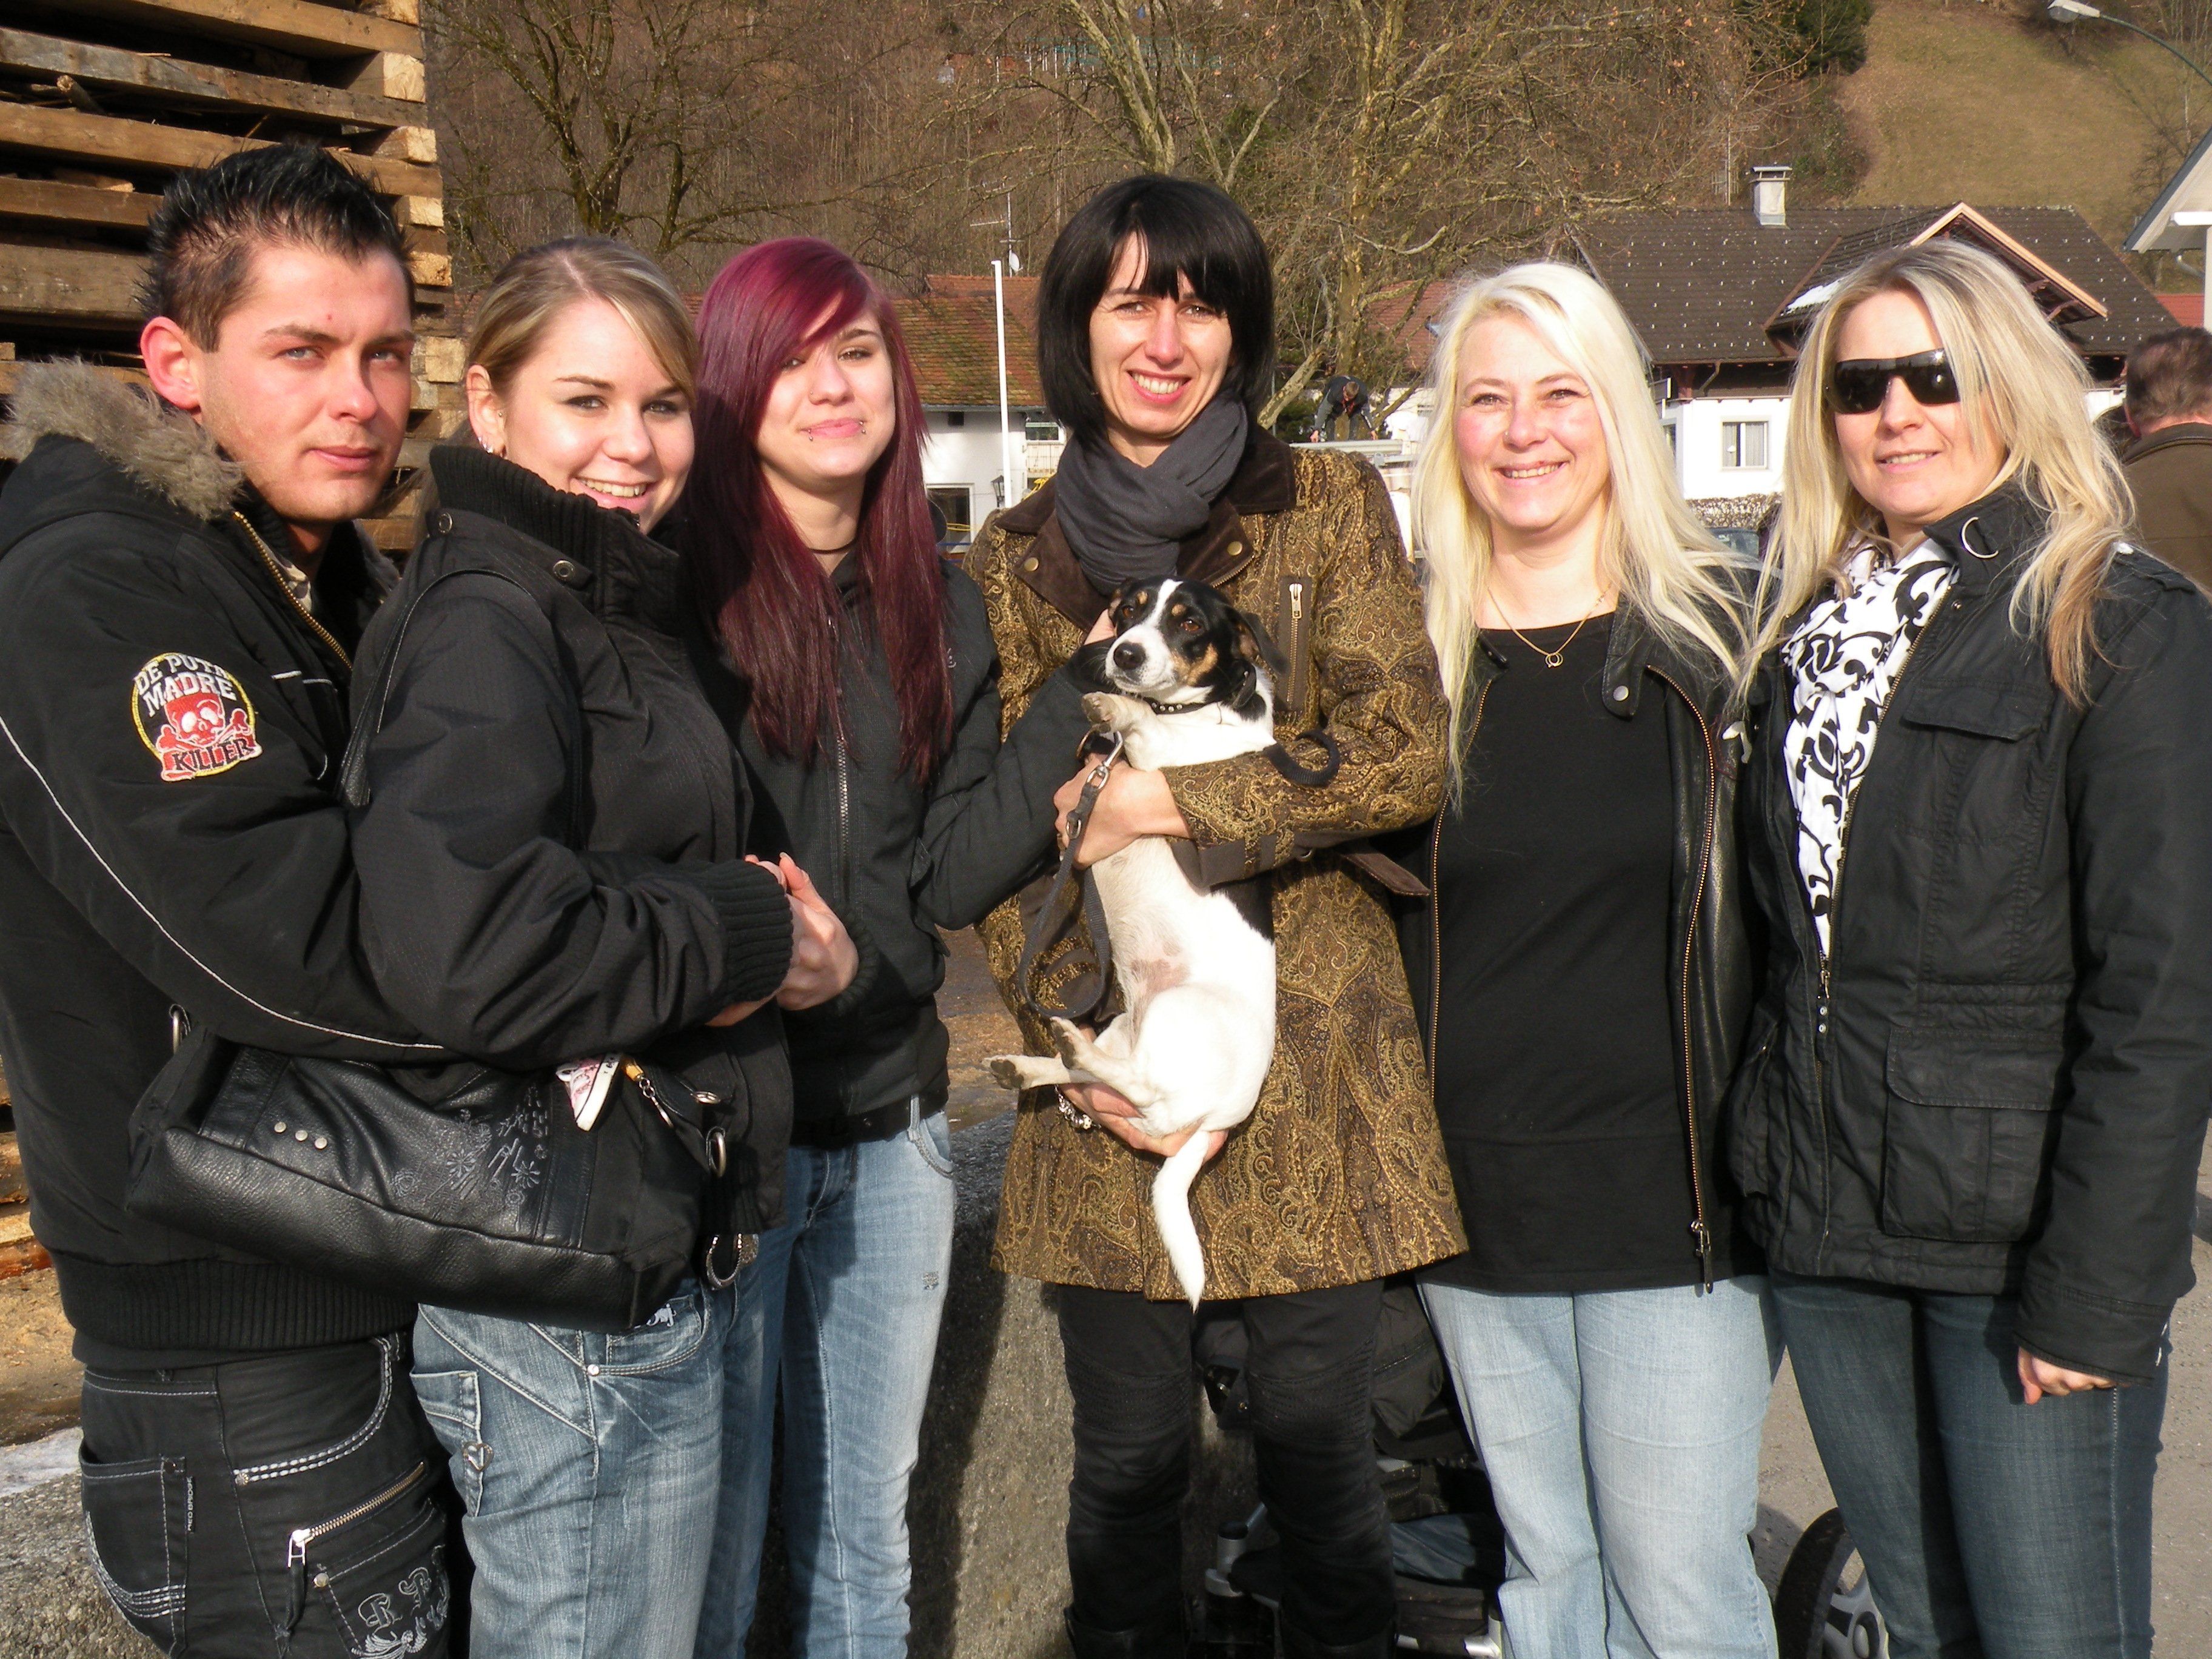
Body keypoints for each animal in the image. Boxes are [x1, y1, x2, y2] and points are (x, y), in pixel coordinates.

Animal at [989, 577, 1280, 1306]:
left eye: (1188, 624)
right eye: (1128, 610)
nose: (1122, 654)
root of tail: (1221, 1119)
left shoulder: (1169, 768)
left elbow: (1146, 730)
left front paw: (1115, 707)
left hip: (1178, 1014)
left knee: (1146, 1098)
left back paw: (1066, 1047)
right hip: (1129, 1024)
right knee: (1112, 1089)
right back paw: (1035, 1062)